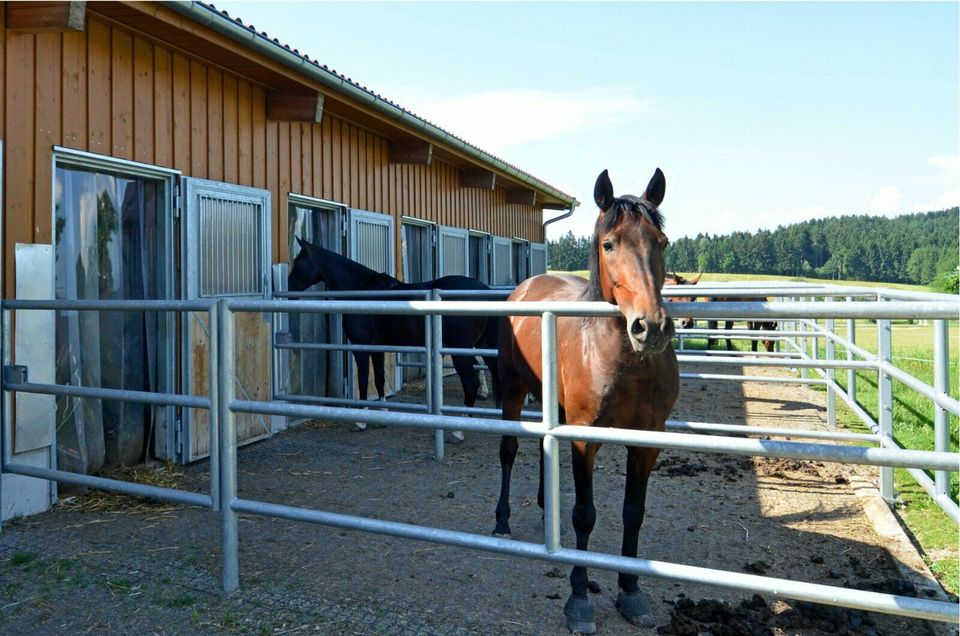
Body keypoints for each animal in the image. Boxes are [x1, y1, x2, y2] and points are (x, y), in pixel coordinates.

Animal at [284, 236, 498, 414]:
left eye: (298, 262)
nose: (289, 289)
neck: (361, 290)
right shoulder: (377, 347)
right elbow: (379, 379)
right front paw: (383, 411)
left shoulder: (360, 347)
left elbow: (363, 381)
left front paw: (361, 419)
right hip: (483, 345)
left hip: (460, 348)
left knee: (470, 382)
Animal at [492, 168, 680, 632]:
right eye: (609, 243)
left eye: (662, 241)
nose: (651, 327)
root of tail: (526, 285)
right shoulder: (584, 437)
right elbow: (584, 514)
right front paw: (578, 599)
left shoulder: (647, 441)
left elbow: (634, 511)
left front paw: (631, 592)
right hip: (512, 388)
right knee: (508, 450)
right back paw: (502, 521)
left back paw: (547, 514)